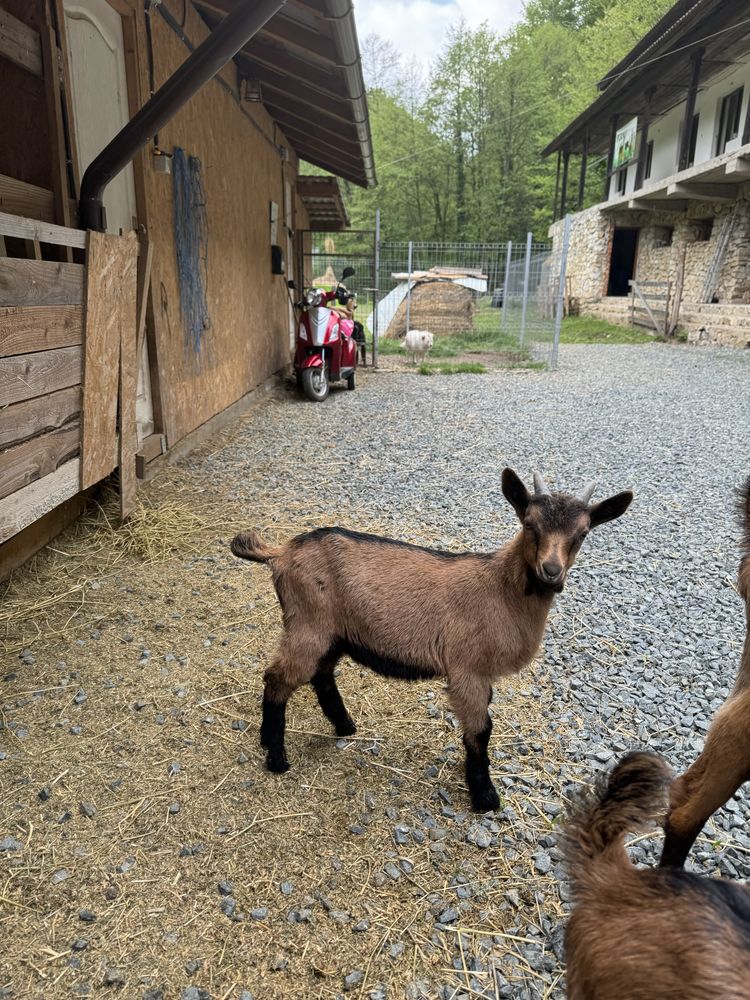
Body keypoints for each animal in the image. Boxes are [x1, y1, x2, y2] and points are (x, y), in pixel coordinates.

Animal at [231, 470, 636, 812]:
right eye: (529, 523)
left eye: (583, 533)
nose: (550, 572)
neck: (499, 590)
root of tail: (281, 552)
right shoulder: (467, 669)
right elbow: (480, 731)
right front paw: (485, 796)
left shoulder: (482, 675)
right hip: (307, 624)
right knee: (278, 678)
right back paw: (276, 757)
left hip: (334, 633)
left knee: (321, 675)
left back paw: (344, 726)